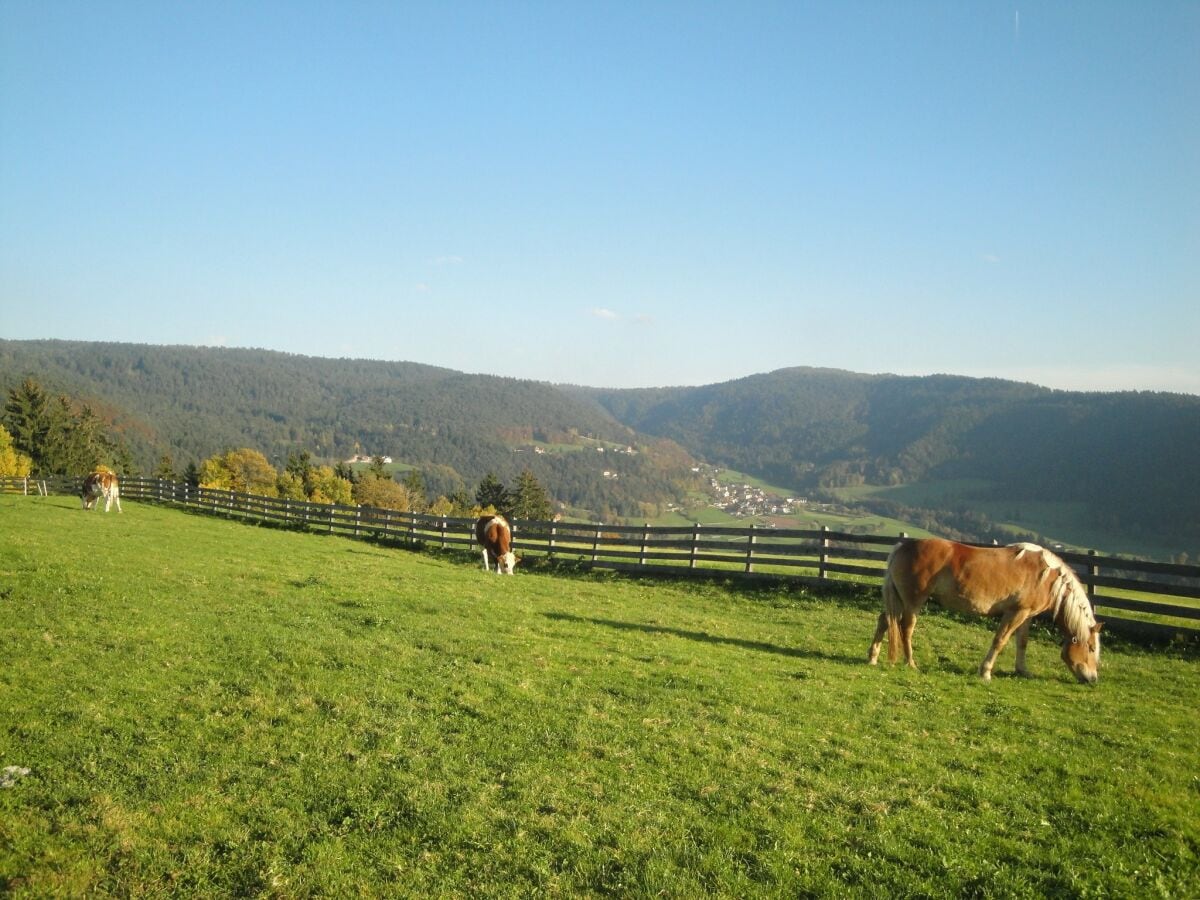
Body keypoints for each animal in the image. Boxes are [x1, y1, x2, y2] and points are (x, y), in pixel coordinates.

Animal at [868, 542, 1099, 681]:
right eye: (1091, 649)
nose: (1093, 679)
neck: (1047, 576)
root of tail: (902, 546)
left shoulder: (1025, 615)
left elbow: (1022, 643)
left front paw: (1022, 670)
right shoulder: (1015, 613)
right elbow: (1000, 640)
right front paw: (986, 672)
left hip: (898, 600)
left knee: (885, 621)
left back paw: (873, 657)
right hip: (913, 602)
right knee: (905, 628)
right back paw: (910, 663)